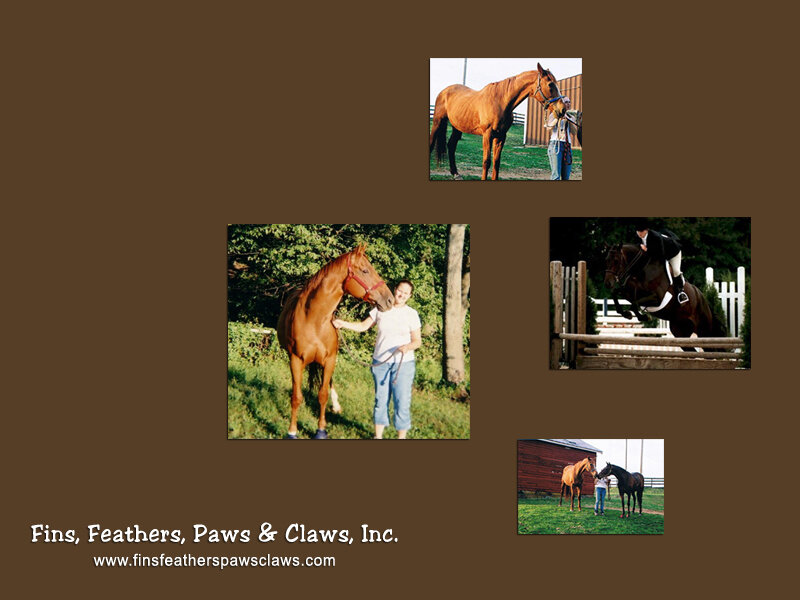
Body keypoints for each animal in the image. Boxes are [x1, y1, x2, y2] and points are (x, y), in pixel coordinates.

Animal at [277, 245, 394, 439]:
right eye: (365, 270)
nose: (390, 299)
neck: (314, 320)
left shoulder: (330, 360)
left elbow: (323, 394)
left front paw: (321, 430)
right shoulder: (295, 360)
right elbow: (296, 397)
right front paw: (292, 431)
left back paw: (336, 405)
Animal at [430, 63, 567, 181]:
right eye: (550, 84)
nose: (563, 109)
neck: (501, 101)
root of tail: (444, 92)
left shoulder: (501, 136)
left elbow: (496, 162)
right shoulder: (487, 134)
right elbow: (486, 161)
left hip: (457, 127)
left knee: (451, 145)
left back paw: (456, 174)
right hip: (437, 121)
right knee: (432, 144)